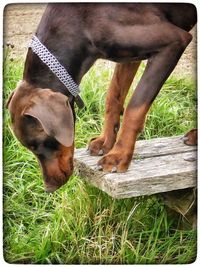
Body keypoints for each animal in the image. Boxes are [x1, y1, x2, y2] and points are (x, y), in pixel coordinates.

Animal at [6, 4, 197, 193]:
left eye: (40, 144)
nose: (48, 189)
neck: (79, 26)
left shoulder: (173, 42)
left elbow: (135, 107)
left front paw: (119, 155)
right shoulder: (128, 55)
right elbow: (113, 96)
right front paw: (106, 141)